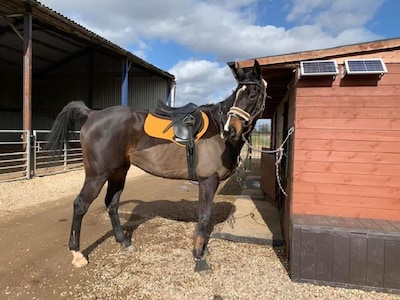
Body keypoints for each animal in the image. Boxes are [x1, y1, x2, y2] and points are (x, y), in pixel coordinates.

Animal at [47, 60, 268, 272]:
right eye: (238, 93)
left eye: (253, 93)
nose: (230, 130)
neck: (217, 127)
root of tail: (92, 114)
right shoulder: (208, 181)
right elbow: (204, 217)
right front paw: (199, 257)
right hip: (97, 175)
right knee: (80, 205)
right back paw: (77, 254)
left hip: (118, 172)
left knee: (112, 203)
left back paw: (124, 241)